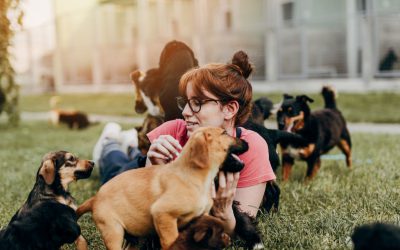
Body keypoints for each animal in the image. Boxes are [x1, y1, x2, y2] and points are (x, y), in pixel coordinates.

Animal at [76, 127, 248, 250]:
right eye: (224, 133)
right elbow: (171, 241)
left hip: (133, 237)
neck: (196, 178)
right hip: (113, 231)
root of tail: (95, 198)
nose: (247, 142)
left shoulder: (201, 217)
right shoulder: (163, 214)